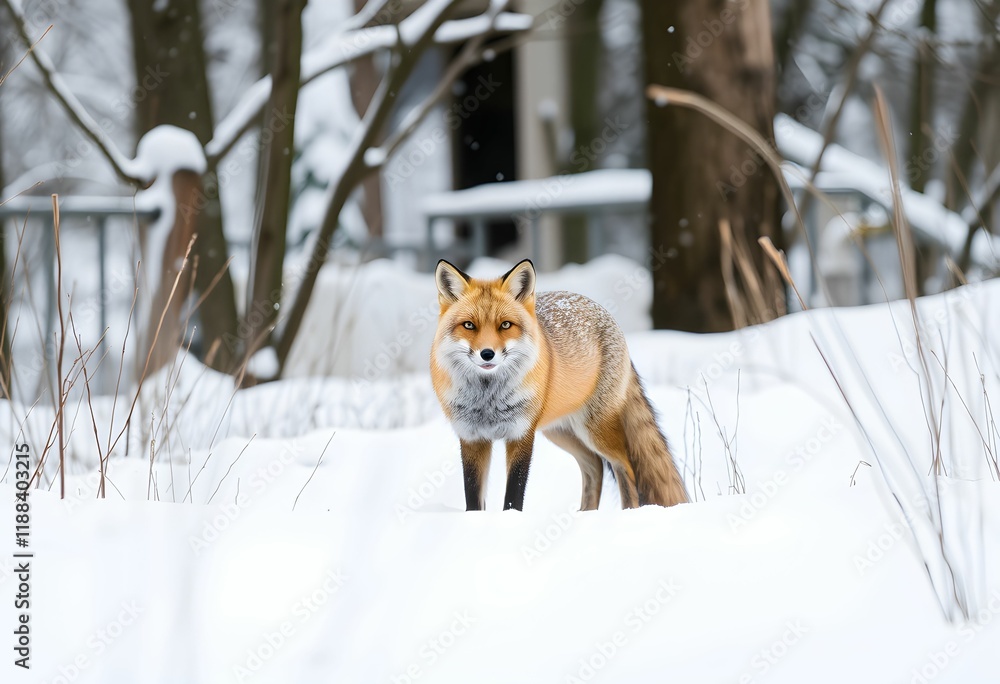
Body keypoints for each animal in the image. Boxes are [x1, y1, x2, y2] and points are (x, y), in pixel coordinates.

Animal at [430, 258, 688, 511]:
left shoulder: (521, 435)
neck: (488, 399)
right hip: (559, 431)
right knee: (595, 465)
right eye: (469, 325)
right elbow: (473, 499)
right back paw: (585, 515)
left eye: (505, 325)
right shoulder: (471, 437)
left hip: (593, 429)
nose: (487, 354)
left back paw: (628, 513)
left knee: (624, 465)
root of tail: (600, 309)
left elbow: (514, 495)